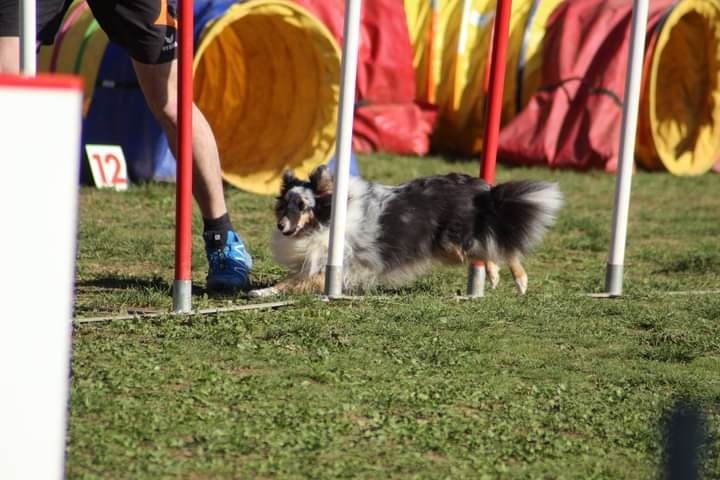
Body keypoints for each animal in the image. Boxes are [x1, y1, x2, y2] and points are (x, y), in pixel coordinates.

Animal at [249, 167, 564, 298]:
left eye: (303, 206)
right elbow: (292, 279)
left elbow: (292, 282)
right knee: (491, 247)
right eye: (285, 205)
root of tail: (482, 191)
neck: (326, 220)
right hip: (451, 247)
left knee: (502, 246)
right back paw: (496, 276)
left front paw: (261, 293)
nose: (281, 227)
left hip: (452, 243)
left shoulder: (336, 266)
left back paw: (518, 281)